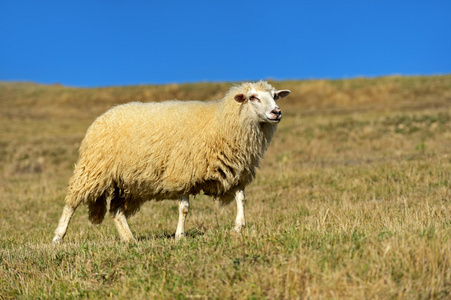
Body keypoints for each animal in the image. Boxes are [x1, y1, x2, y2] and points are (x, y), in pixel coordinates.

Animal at [53, 81, 292, 243]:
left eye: (275, 96)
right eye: (253, 97)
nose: (277, 112)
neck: (221, 123)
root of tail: (103, 116)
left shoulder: (234, 172)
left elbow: (241, 199)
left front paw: (238, 227)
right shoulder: (183, 170)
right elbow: (184, 208)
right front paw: (179, 235)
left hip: (127, 183)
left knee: (116, 212)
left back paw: (130, 240)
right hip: (94, 168)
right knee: (72, 202)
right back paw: (58, 237)